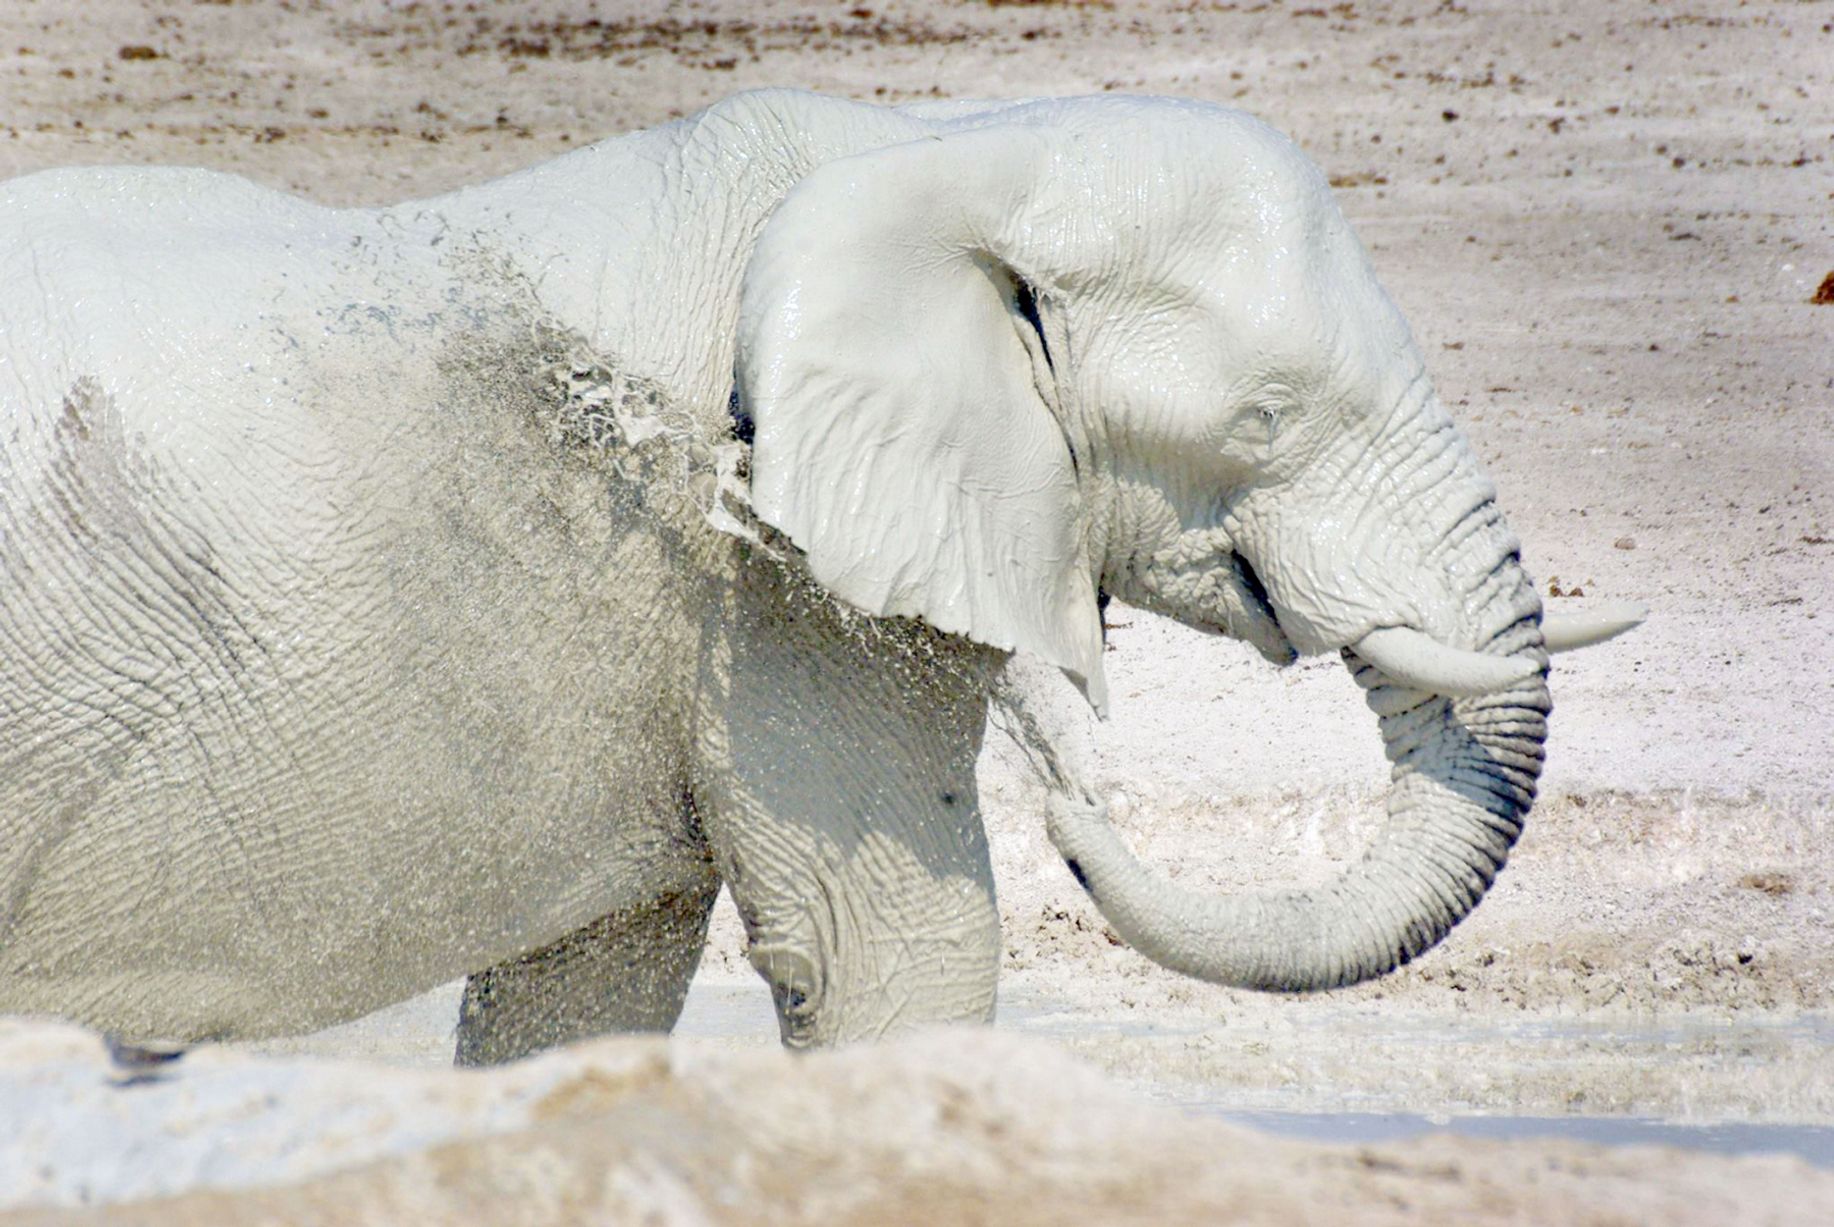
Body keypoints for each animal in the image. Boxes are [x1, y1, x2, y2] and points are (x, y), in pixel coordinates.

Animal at [0, 90, 1638, 1061]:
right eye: (1263, 421)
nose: (1076, 798)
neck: (940, 151)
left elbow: (577, 998)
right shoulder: (777, 587)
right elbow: (893, 954)